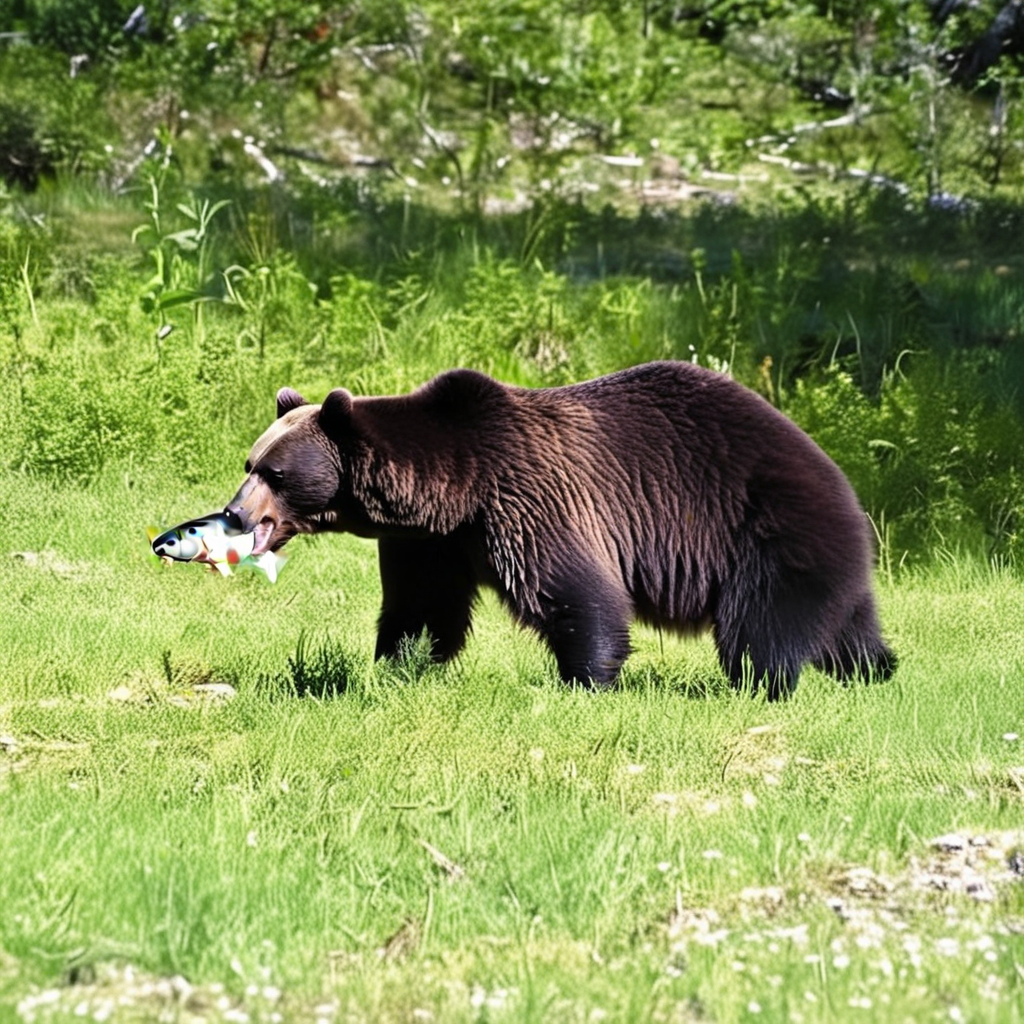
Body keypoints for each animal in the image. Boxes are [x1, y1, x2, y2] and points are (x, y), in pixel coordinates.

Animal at [226, 360, 897, 696]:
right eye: (249, 463)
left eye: (276, 473)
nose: (234, 513)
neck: (454, 488)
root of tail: (844, 482)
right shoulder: (434, 542)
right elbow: (424, 607)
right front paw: (399, 664)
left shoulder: (528, 500)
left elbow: (573, 592)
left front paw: (587, 678)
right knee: (847, 625)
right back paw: (873, 669)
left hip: (766, 531)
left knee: (761, 629)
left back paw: (760, 685)